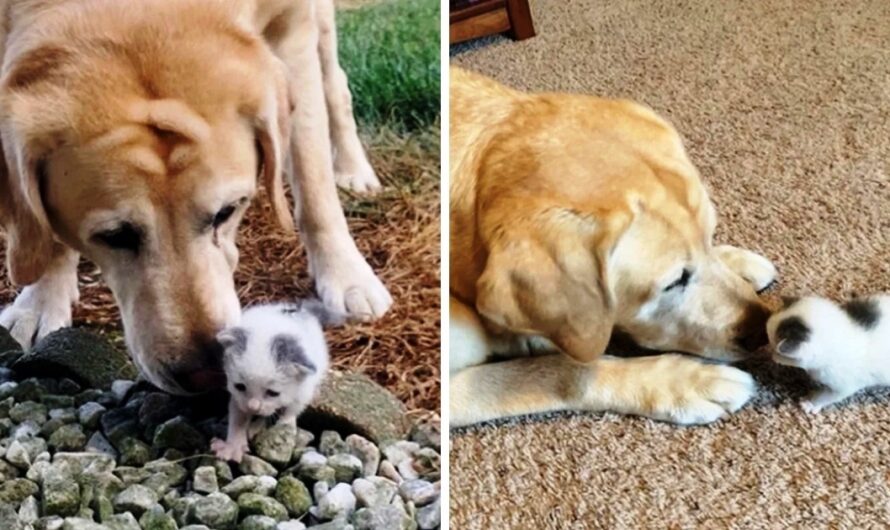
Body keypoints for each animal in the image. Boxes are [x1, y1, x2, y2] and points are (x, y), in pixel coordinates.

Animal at [0, 0, 392, 394]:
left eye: (227, 212)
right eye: (114, 236)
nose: (207, 373)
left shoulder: (293, 26)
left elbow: (313, 179)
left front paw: (346, 275)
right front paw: (41, 300)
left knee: (335, 86)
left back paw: (352, 168)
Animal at [212, 300, 340, 460]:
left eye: (273, 393)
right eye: (240, 386)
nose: (253, 407)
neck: (271, 327)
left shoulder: (305, 388)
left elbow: (293, 408)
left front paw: (286, 425)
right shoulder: (238, 398)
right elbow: (238, 416)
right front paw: (233, 446)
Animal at [450, 67, 776, 424]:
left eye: (711, 235)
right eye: (673, 282)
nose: (761, 329)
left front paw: (734, 259)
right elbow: (565, 371)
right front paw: (683, 380)